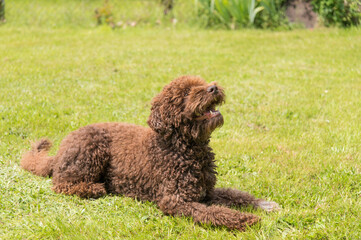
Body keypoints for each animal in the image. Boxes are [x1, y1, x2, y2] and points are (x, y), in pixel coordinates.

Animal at [20, 75, 278, 231]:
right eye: (186, 94)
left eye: (201, 83)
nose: (213, 88)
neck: (185, 147)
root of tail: (61, 149)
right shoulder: (175, 200)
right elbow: (214, 212)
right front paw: (244, 219)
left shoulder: (206, 191)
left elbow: (236, 195)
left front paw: (263, 204)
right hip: (92, 151)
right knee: (60, 183)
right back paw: (93, 188)